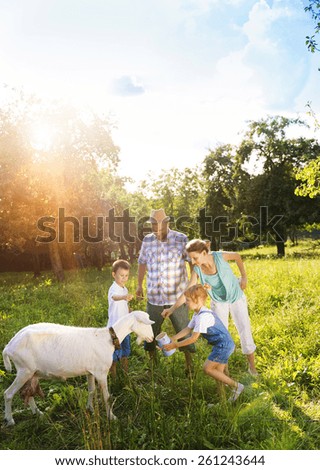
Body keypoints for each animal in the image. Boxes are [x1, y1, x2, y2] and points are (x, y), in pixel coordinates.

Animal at [2, 308, 154, 426]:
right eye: (145, 323)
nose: (152, 338)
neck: (107, 338)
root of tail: (8, 347)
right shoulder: (101, 372)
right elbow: (106, 396)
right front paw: (112, 417)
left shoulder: (90, 372)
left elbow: (91, 390)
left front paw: (90, 409)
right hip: (24, 370)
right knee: (8, 394)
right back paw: (10, 420)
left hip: (31, 372)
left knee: (28, 393)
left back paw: (38, 413)